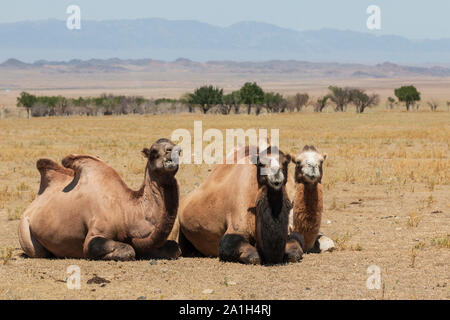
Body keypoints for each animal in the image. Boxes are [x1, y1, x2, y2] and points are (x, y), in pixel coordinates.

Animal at [18, 138, 181, 260]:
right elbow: (127, 250)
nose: (173, 151)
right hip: (24, 229)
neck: (128, 211)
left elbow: (175, 248)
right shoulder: (95, 233)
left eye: (180, 150)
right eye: (153, 151)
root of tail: (30, 207)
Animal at [171, 146, 304, 264]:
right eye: (261, 164)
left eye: (285, 162)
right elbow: (251, 255)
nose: (276, 177)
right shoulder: (235, 227)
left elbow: (295, 251)